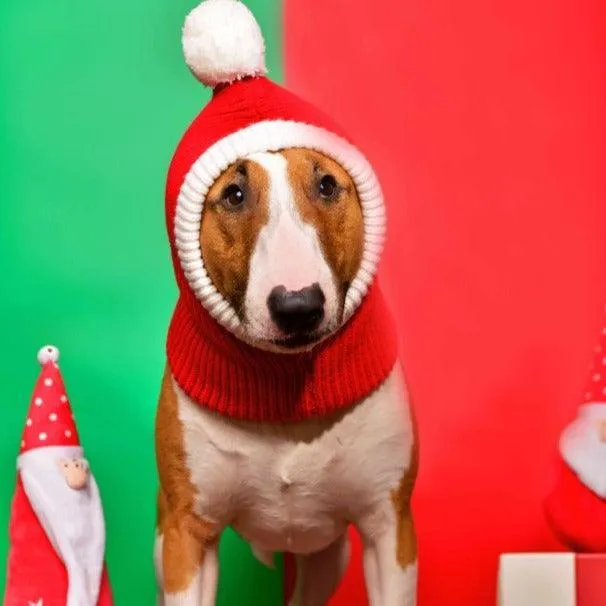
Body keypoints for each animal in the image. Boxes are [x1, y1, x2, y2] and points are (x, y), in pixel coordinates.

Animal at [154, 1, 418, 606]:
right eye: (233, 194)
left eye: (327, 185)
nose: (298, 307)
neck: (287, 392)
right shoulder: (186, 536)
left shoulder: (389, 526)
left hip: (326, 557)